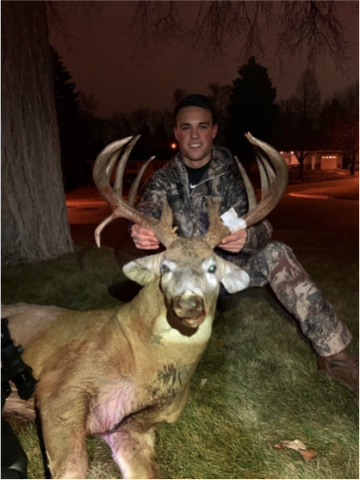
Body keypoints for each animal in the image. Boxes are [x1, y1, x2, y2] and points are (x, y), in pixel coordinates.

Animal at [0, 133, 286, 478]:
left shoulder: (132, 426)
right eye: (165, 266)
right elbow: (73, 466)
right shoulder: (59, 385)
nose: (189, 304)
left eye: (212, 267)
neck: (140, 361)